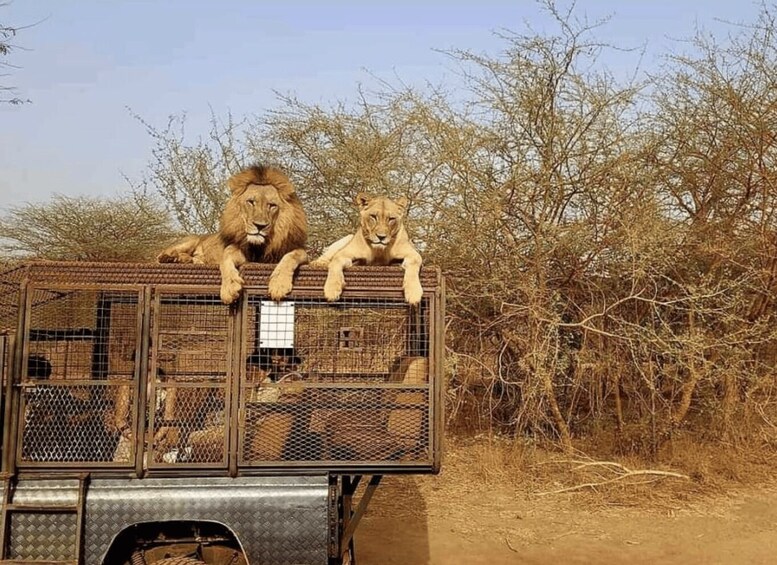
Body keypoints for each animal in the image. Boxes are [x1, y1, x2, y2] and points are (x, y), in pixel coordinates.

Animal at [157, 165, 308, 304]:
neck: (261, 245)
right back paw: (169, 258)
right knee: (159, 256)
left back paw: (184, 259)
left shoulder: (298, 252)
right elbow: (226, 255)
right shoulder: (240, 250)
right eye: (251, 202)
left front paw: (279, 284)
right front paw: (229, 288)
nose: (260, 226)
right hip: (190, 240)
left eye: (272, 205)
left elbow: (292, 256)